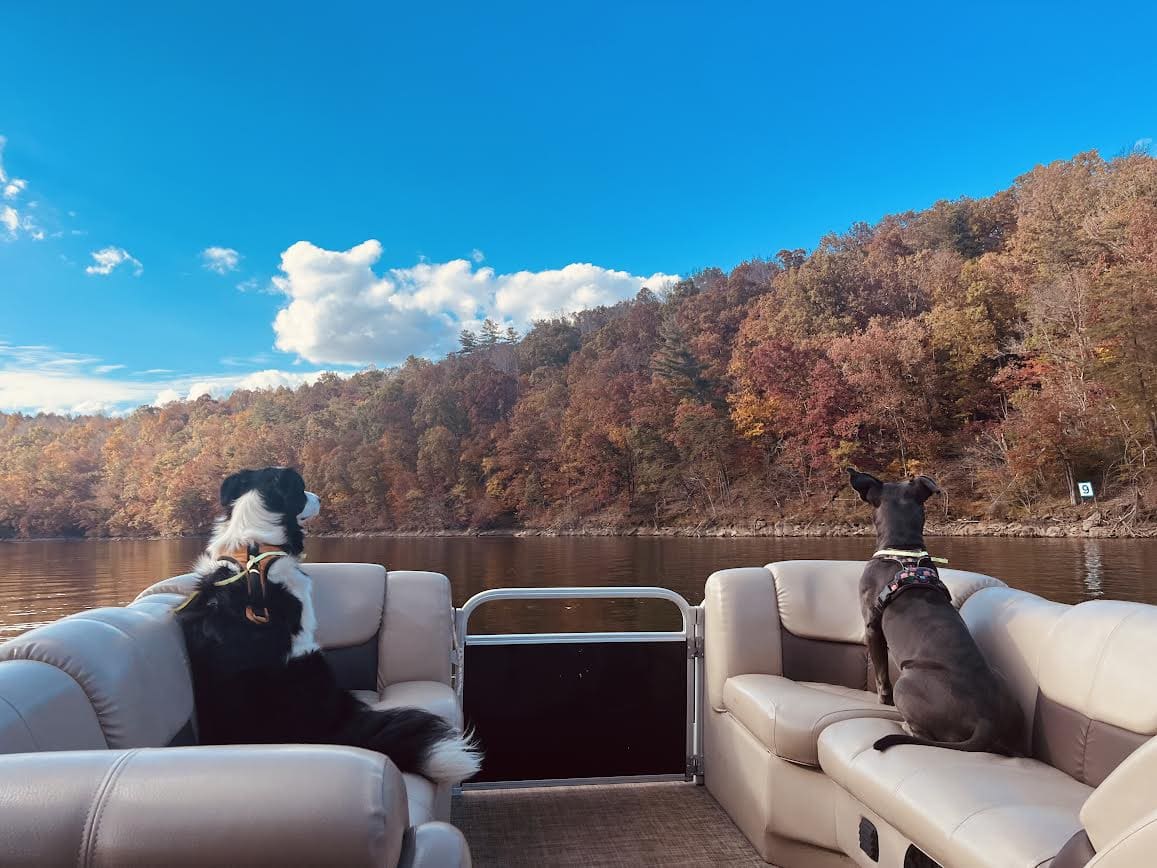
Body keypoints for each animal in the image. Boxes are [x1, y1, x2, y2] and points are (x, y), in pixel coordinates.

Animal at [851, 469, 1022, 754]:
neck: (904, 549)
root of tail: (985, 721)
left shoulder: (872, 627)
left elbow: (881, 676)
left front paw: (882, 701)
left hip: (906, 683)